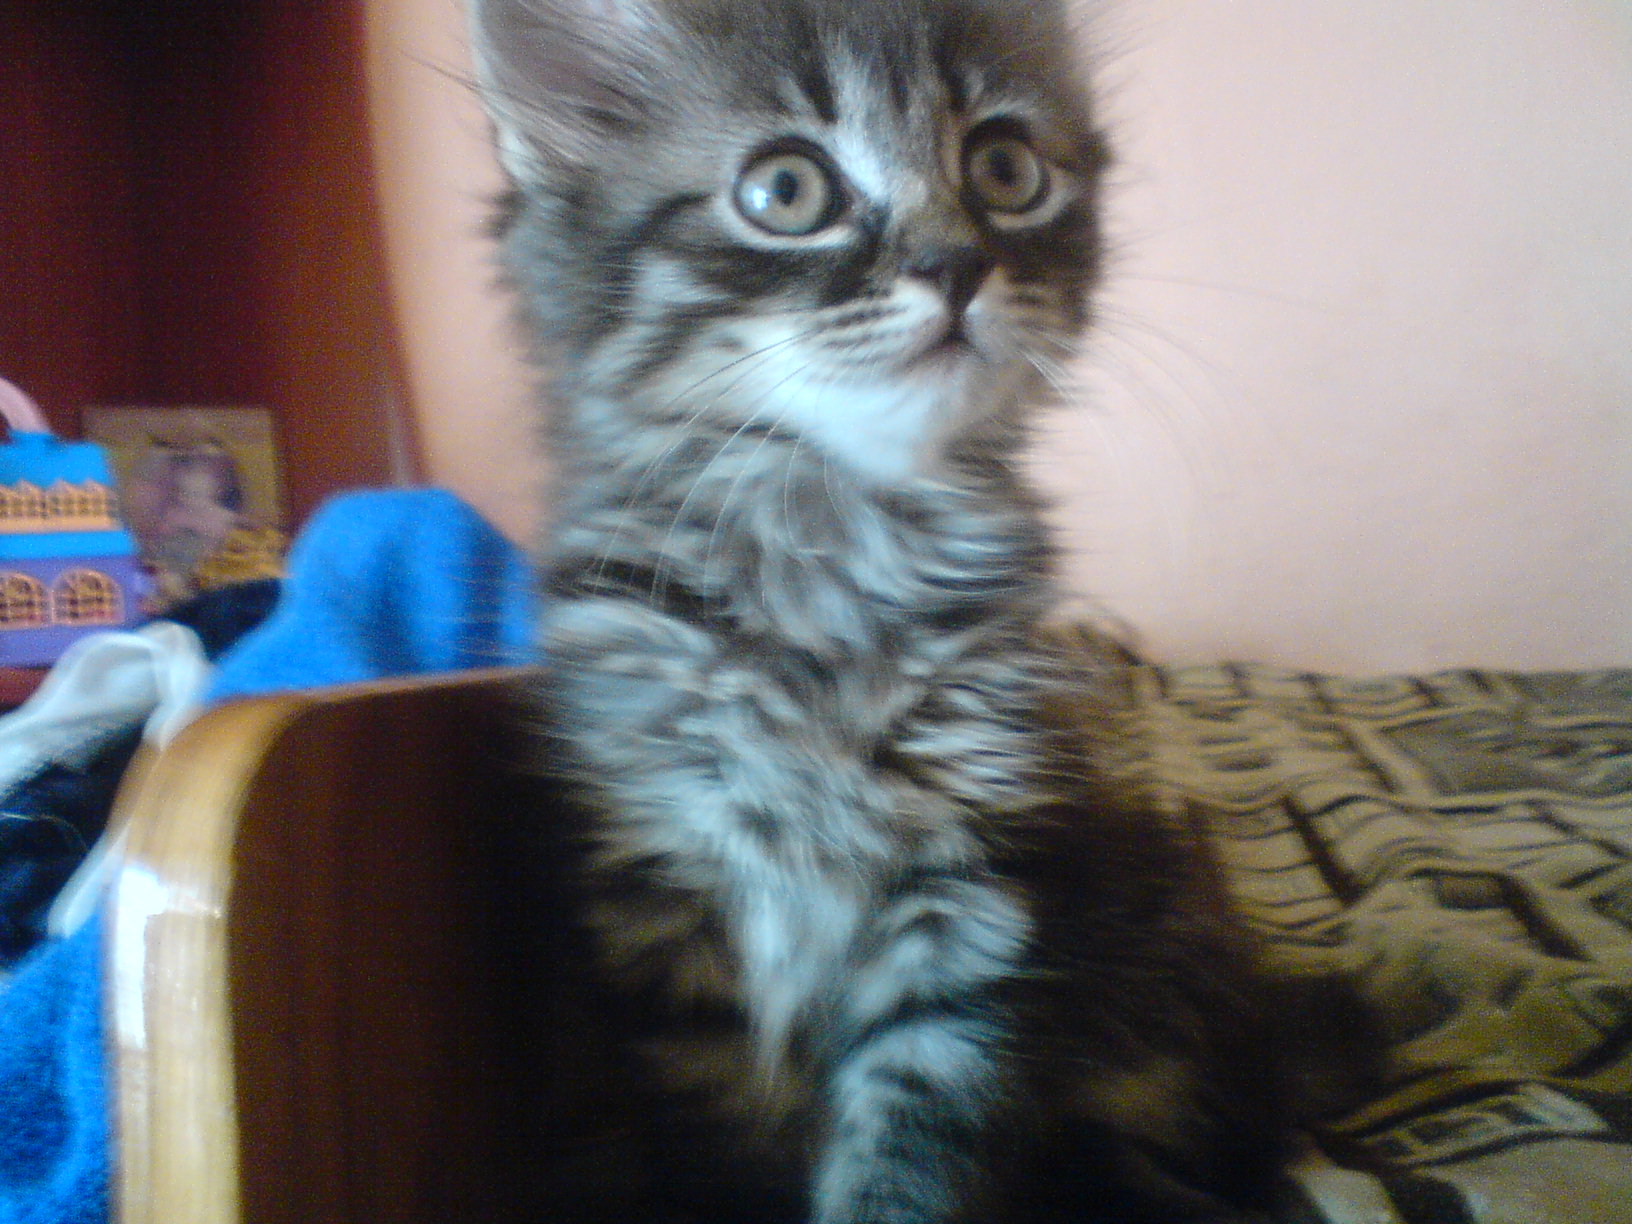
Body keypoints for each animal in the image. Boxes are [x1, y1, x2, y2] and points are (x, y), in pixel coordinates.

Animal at [468, 1, 1362, 1220]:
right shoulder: (666, 898)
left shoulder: (974, 895)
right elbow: (714, 1141)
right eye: (786, 190)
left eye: (1005, 169)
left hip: (1154, 918)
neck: (831, 557)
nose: (957, 263)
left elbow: (915, 1147)